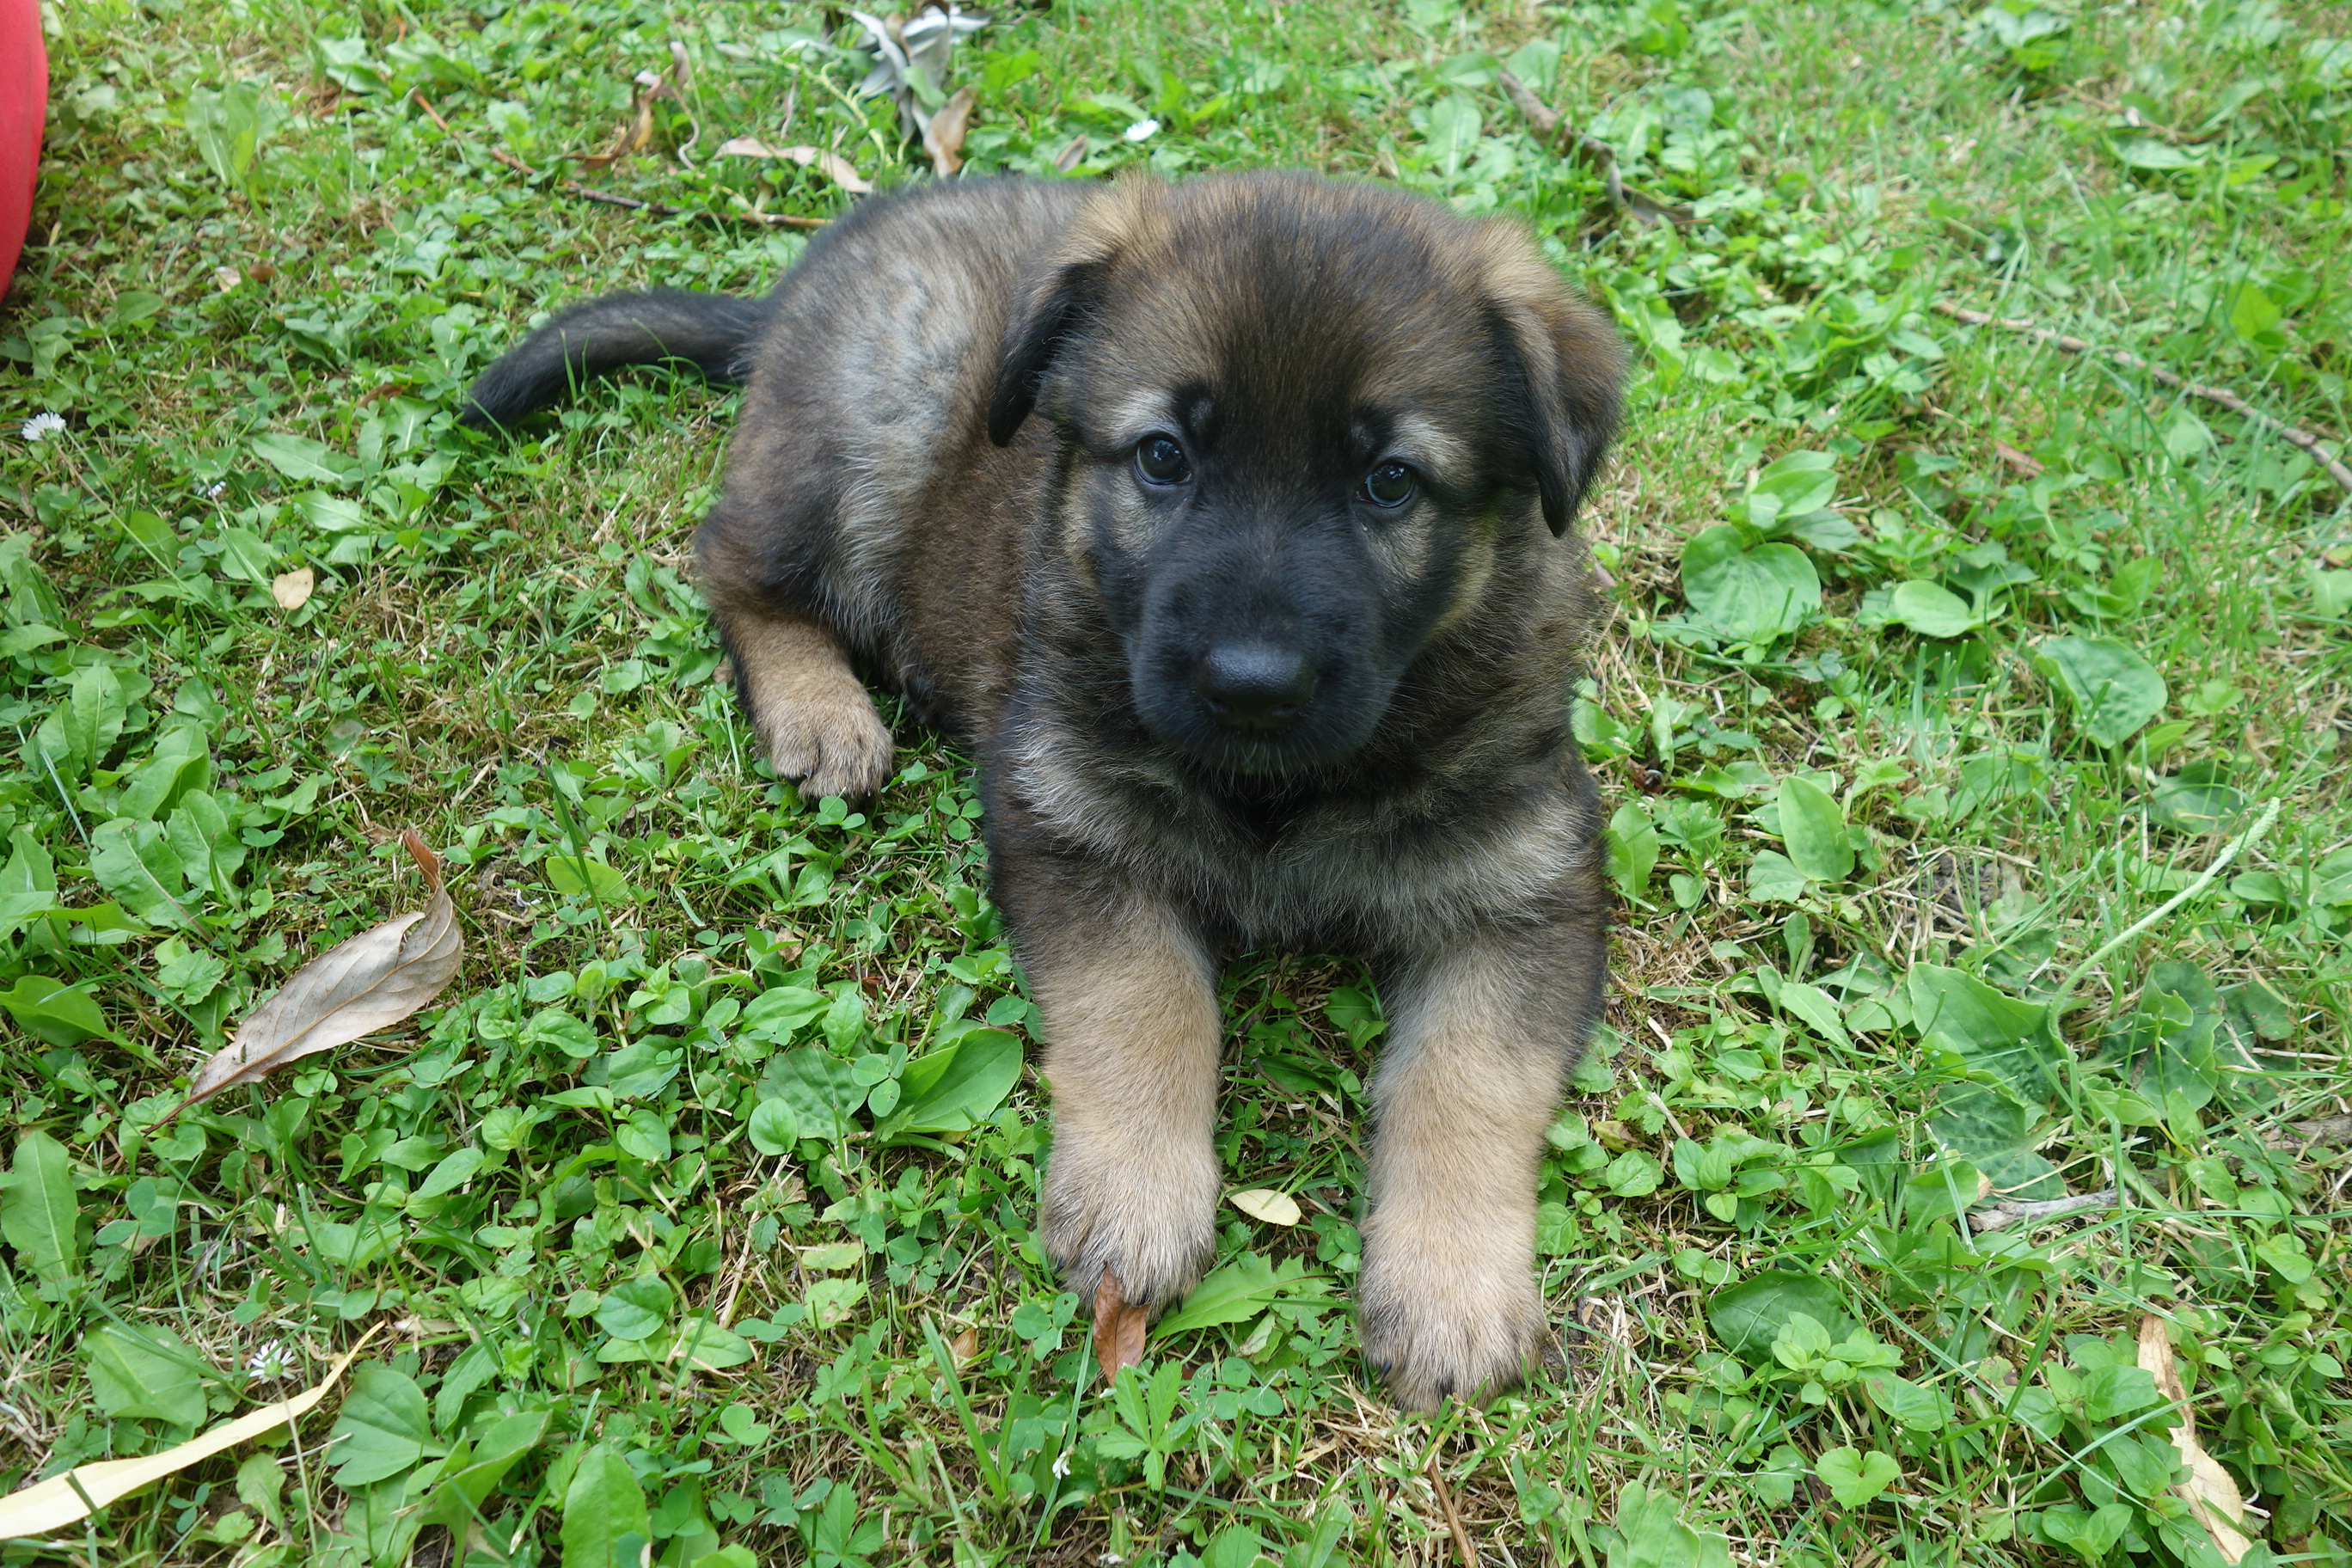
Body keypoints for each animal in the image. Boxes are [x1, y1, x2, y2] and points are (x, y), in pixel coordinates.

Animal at [462, 171, 1623, 1409]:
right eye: (1163, 457)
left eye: (1390, 481)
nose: (1250, 684)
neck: (1278, 791)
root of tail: (801, 287)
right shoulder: (1072, 821)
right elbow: (1145, 1001)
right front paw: (1137, 1196)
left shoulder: (1525, 888)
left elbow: (1471, 1077)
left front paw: (1451, 1288)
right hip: (876, 424)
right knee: (731, 563)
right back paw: (821, 711)